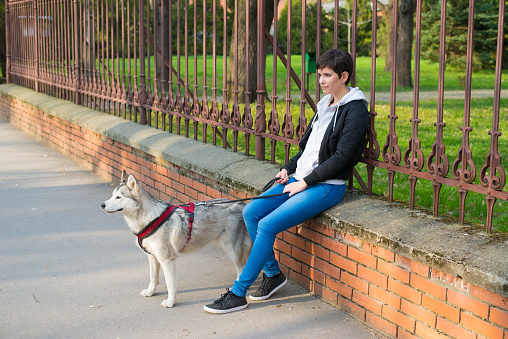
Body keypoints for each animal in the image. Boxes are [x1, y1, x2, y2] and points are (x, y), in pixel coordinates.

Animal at [101, 170, 252, 308]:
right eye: (112, 196)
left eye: (118, 197)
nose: (102, 205)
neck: (149, 219)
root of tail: (242, 205)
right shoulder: (152, 257)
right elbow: (153, 278)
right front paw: (151, 292)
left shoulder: (166, 260)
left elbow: (170, 285)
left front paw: (170, 302)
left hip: (232, 251)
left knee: (242, 268)